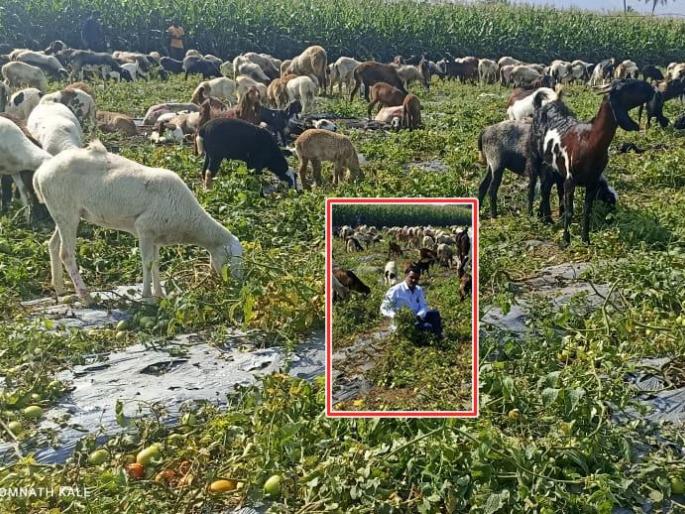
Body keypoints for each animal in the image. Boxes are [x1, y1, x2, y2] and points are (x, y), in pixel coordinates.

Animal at [32, 141, 243, 305]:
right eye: (231, 258)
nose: (237, 285)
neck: (189, 221)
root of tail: (41, 172)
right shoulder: (144, 228)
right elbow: (147, 263)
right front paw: (147, 295)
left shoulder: (156, 235)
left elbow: (156, 262)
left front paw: (159, 294)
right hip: (65, 210)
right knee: (66, 253)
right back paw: (86, 296)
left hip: (63, 212)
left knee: (52, 245)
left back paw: (60, 289)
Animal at [527, 79, 655, 244]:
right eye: (629, 86)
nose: (651, 89)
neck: (589, 141)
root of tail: (541, 107)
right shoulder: (571, 179)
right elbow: (570, 211)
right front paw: (565, 241)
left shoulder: (592, 182)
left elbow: (586, 211)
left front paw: (585, 240)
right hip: (536, 157)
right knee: (537, 186)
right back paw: (537, 216)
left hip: (555, 168)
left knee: (549, 188)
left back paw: (548, 218)